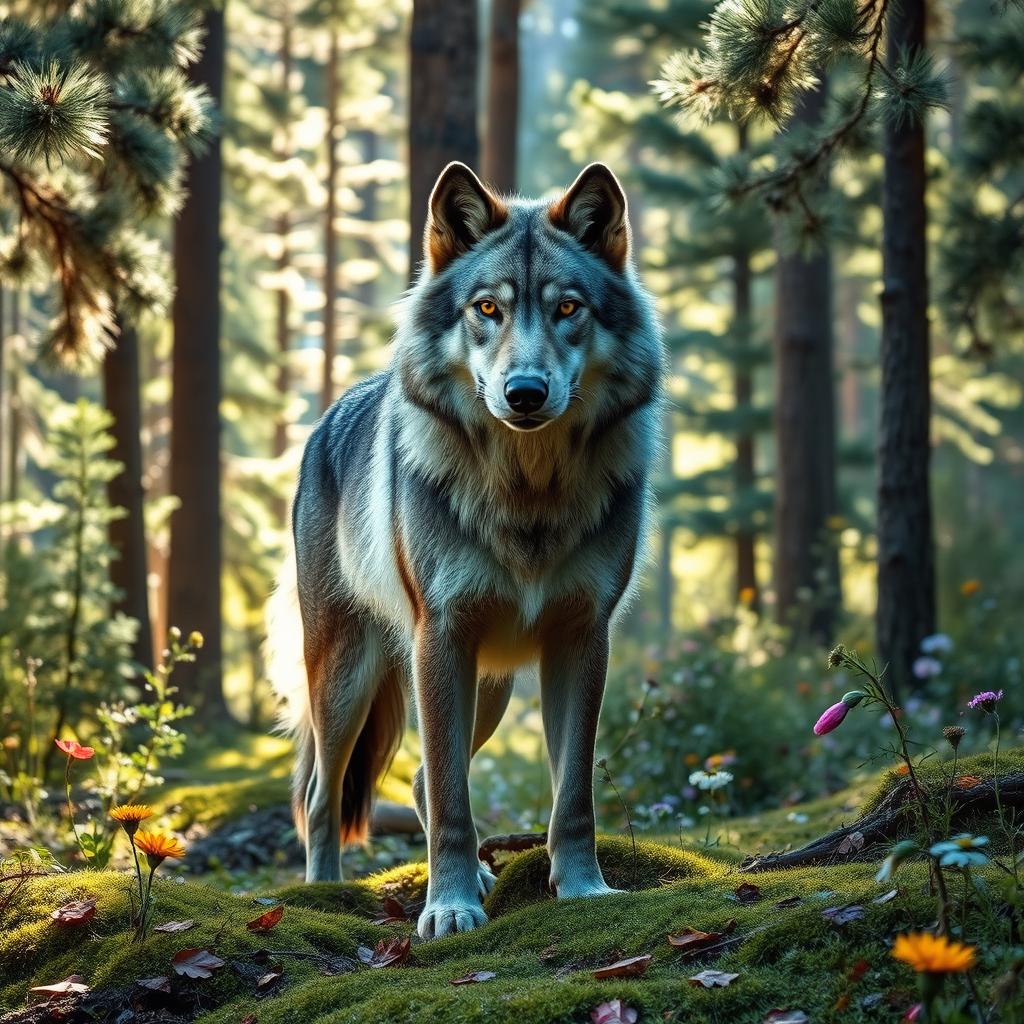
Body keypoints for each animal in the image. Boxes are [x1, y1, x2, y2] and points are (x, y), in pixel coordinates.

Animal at [267, 161, 663, 938]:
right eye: (487, 309)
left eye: (567, 308)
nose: (525, 391)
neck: (529, 496)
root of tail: (330, 414)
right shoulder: (442, 636)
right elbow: (453, 798)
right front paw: (449, 906)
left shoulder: (582, 639)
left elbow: (572, 795)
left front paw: (582, 889)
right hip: (350, 678)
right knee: (323, 797)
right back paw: (326, 892)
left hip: (492, 684)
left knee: (420, 776)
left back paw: (480, 872)